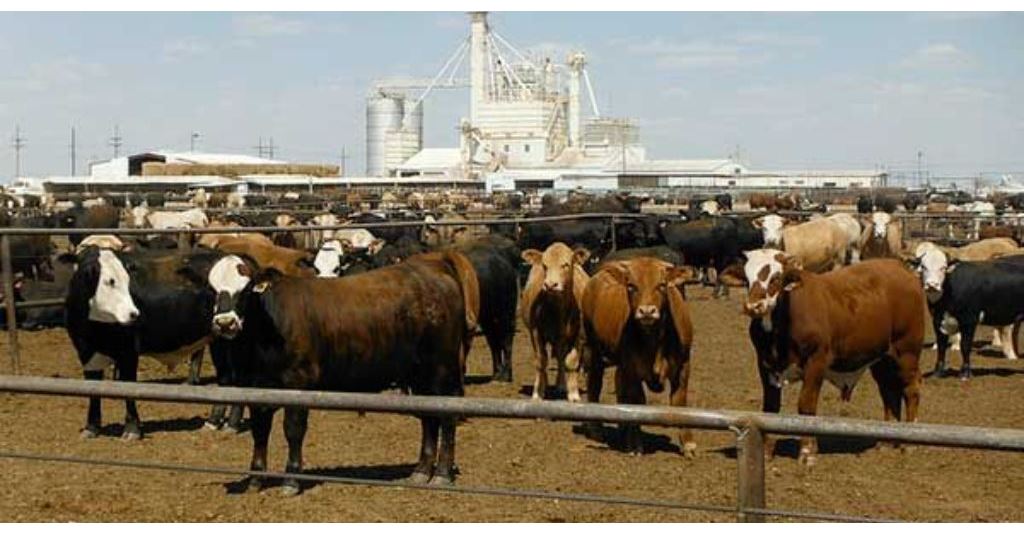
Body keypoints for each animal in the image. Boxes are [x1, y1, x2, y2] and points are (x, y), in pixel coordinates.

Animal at [204, 250, 479, 494]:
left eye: (247, 288)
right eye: (212, 289)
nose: (225, 323)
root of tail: (433, 266)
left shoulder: (299, 383)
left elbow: (293, 430)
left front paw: (291, 480)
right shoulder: (256, 388)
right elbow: (260, 432)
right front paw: (255, 479)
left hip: (442, 368)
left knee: (447, 416)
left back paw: (442, 474)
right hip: (420, 374)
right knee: (429, 417)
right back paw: (421, 471)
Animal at [521, 243, 589, 400]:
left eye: (566, 264)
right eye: (544, 265)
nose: (551, 285)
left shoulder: (579, 334)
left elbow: (571, 361)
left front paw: (573, 394)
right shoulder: (536, 332)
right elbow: (541, 361)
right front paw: (537, 392)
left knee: (560, 357)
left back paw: (562, 385)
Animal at [580, 257, 697, 455]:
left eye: (662, 285)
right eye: (631, 286)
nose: (647, 311)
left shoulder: (683, 365)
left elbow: (679, 402)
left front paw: (688, 445)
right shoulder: (632, 369)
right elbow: (637, 403)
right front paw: (635, 444)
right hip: (592, 349)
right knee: (594, 385)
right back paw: (597, 430)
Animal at [742, 251, 924, 465]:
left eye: (776, 277)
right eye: (747, 277)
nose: (753, 306)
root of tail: (901, 268)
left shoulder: (816, 362)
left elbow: (806, 405)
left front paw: (807, 453)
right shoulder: (766, 365)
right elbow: (770, 408)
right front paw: (766, 453)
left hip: (907, 352)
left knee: (911, 390)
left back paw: (910, 443)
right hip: (883, 359)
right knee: (889, 392)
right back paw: (886, 442)